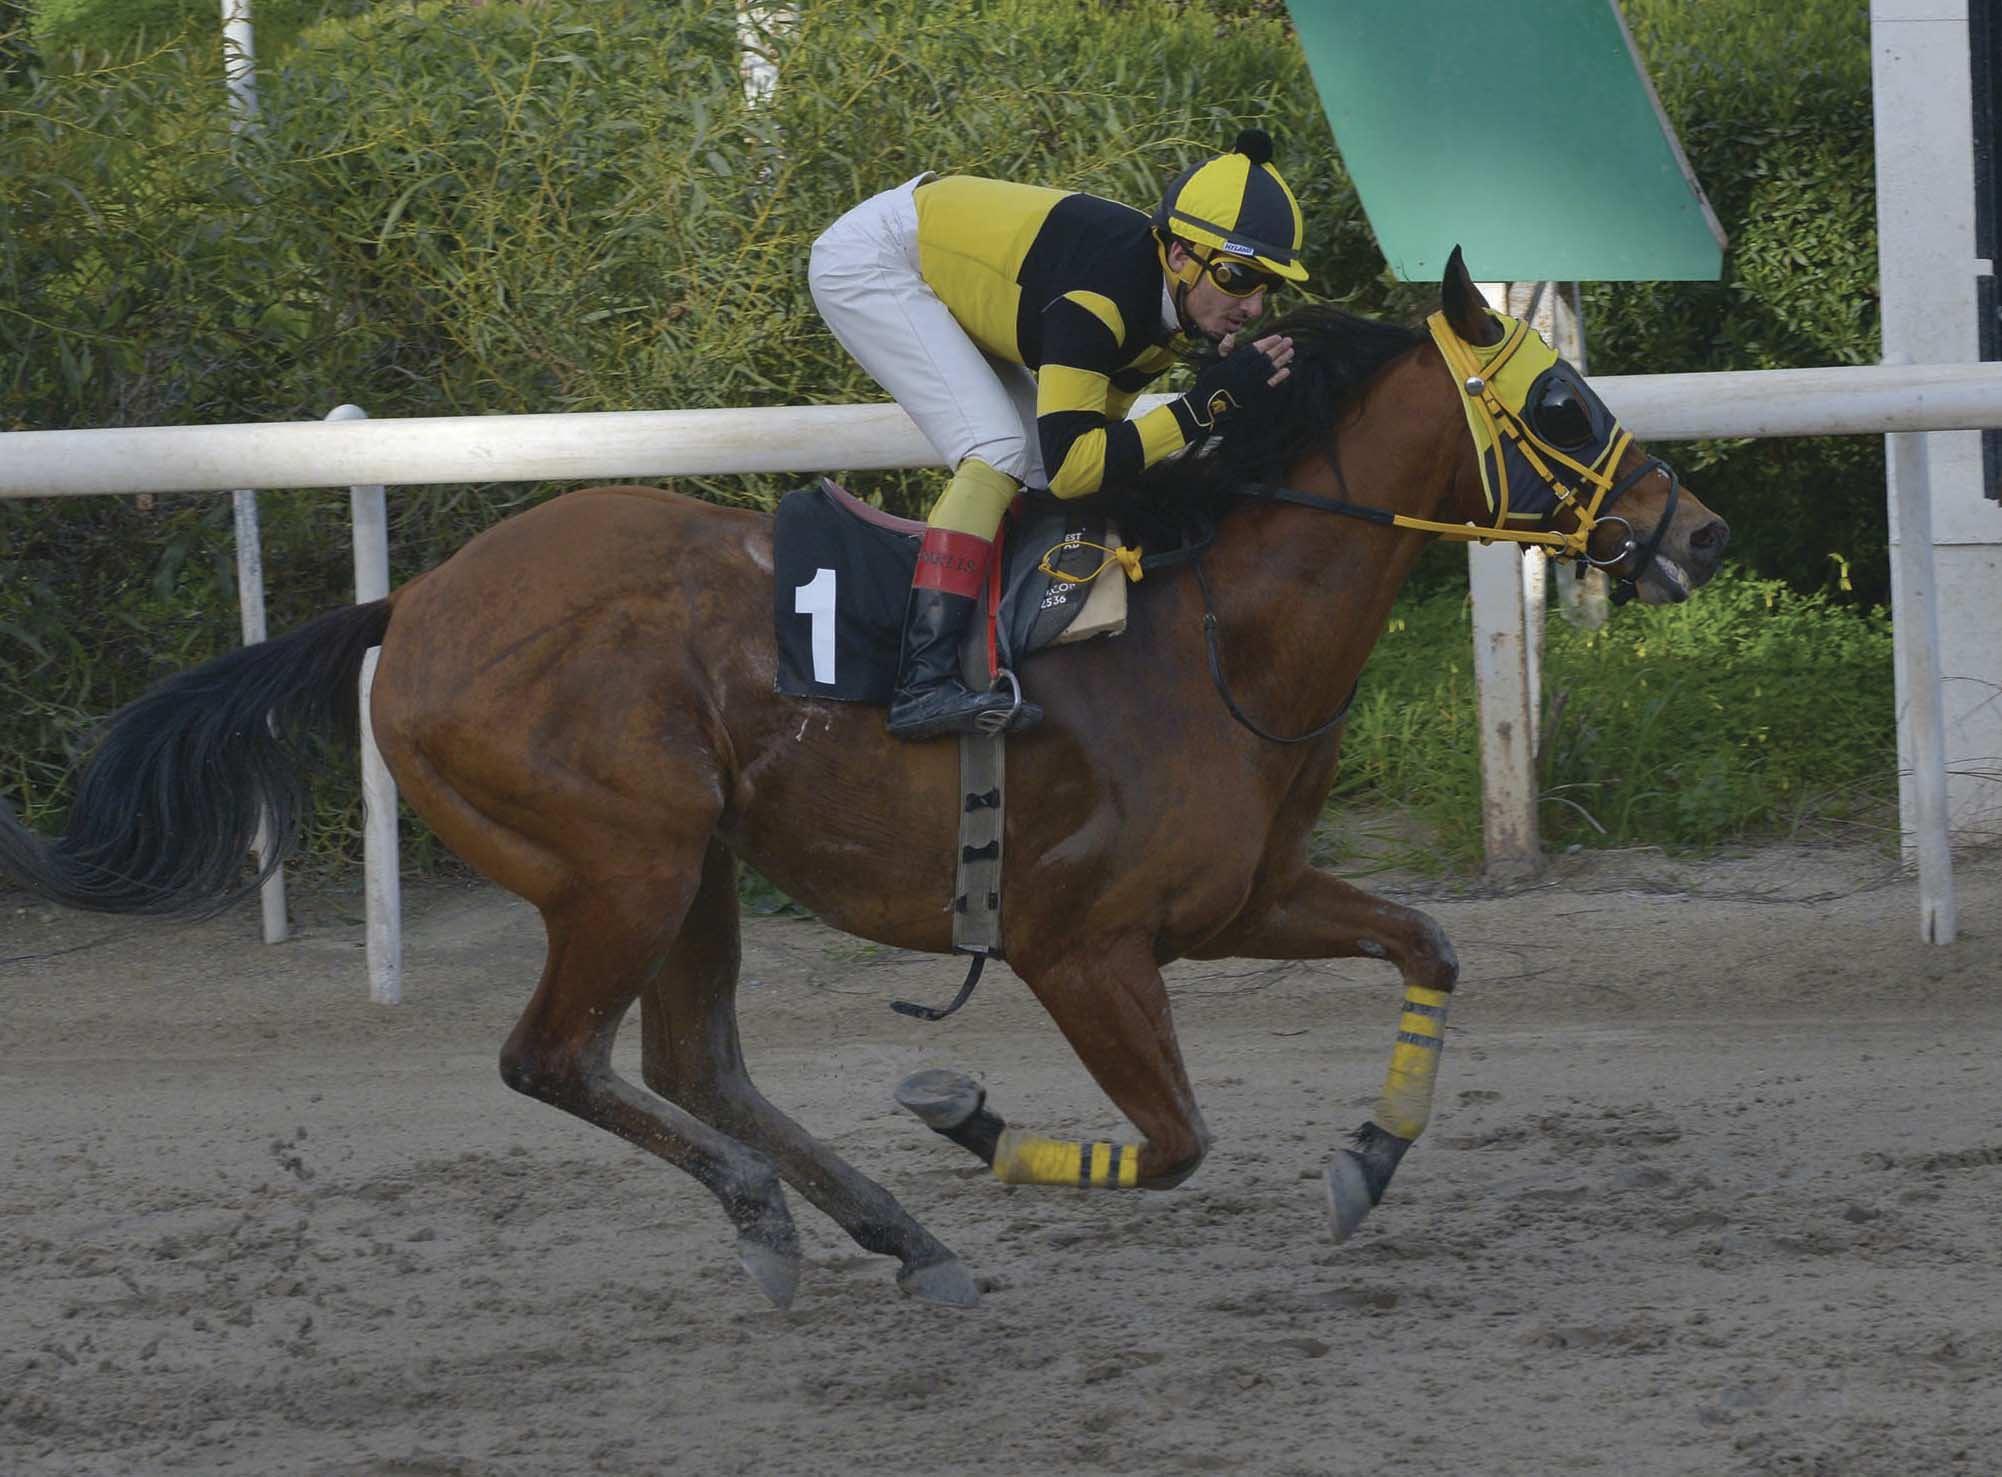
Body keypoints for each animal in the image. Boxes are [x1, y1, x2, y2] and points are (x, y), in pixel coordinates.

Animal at [0, 251, 1727, 1309]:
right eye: (1563, 401)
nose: (1699, 534)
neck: (1209, 633)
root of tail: (411, 606)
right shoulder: (1072, 945)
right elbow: (1172, 1142)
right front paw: (958, 1110)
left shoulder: (1242, 901)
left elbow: (1427, 945)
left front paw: (1368, 1157)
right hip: (622, 860)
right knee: (552, 1058)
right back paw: (782, 1213)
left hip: (695, 862)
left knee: (692, 1062)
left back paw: (887, 1237)